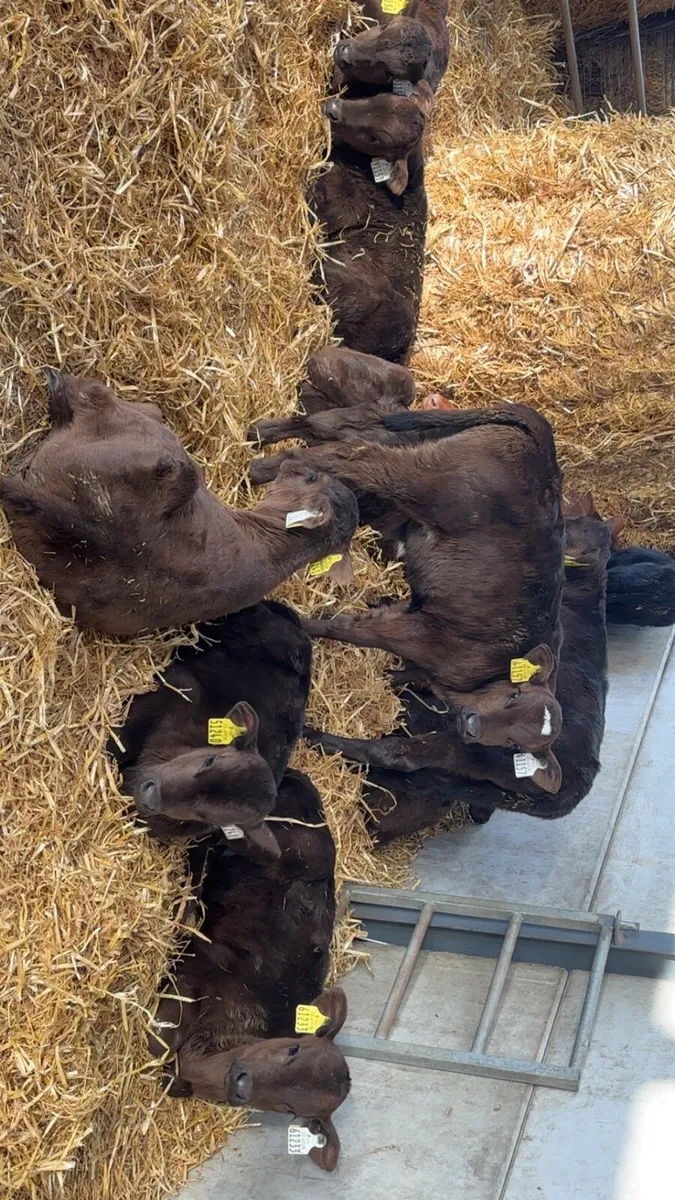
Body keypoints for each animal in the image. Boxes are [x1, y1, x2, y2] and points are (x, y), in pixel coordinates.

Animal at [251, 404, 565, 759]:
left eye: (514, 744)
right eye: (514, 695)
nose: (472, 726)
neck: (493, 669)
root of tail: (547, 455)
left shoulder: (411, 614)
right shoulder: (418, 635)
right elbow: (348, 630)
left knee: (338, 429)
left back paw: (261, 439)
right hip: (423, 481)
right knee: (356, 454)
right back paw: (263, 468)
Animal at [306, 510, 612, 833]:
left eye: (514, 744)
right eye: (513, 695)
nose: (472, 725)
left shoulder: (419, 637)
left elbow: (348, 629)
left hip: (465, 755)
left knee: (400, 755)